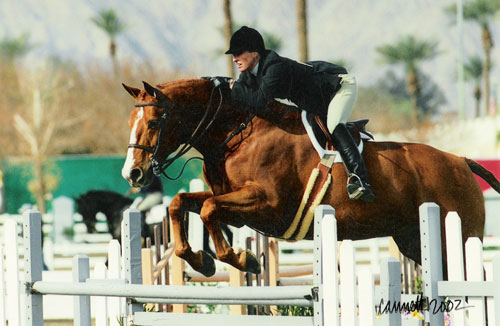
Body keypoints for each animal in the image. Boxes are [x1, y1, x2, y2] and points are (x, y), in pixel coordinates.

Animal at [120, 77, 500, 276]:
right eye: (130, 122)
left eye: (154, 121)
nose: (132, 173)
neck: (235, 134)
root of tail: (462, 162)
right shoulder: (234, 203)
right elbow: (181, 203)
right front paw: (201, 260)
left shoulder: (268, 206)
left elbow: (210, 209)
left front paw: (244, 260)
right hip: (413, 241)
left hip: (456, 236)